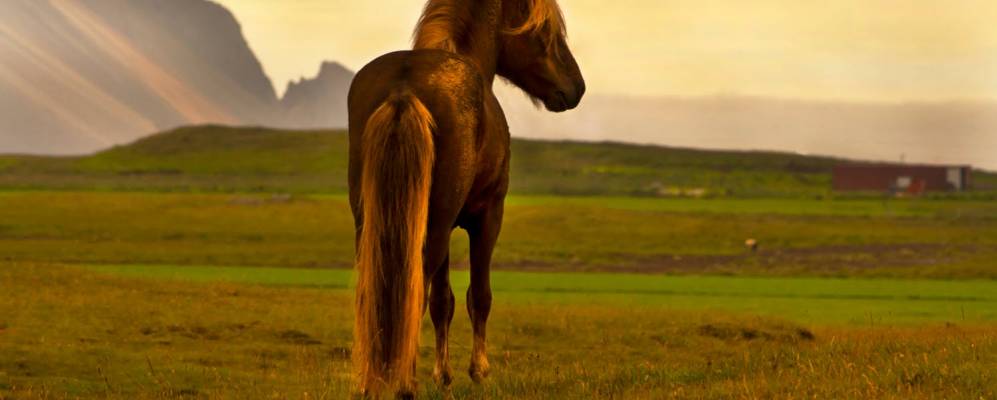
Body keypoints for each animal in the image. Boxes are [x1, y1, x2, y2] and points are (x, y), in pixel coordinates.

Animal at [346, 0, 584, 396]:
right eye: (544, 31)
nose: (576, 86)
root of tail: (402, 89)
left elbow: (443, 302)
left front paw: (444, 376)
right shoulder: (486, 217)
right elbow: (478, 296)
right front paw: (478, 371)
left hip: (373, 224)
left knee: (376, 289)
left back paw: (373, 382)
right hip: (436, 225)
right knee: (415, 288)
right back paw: (405, 382)